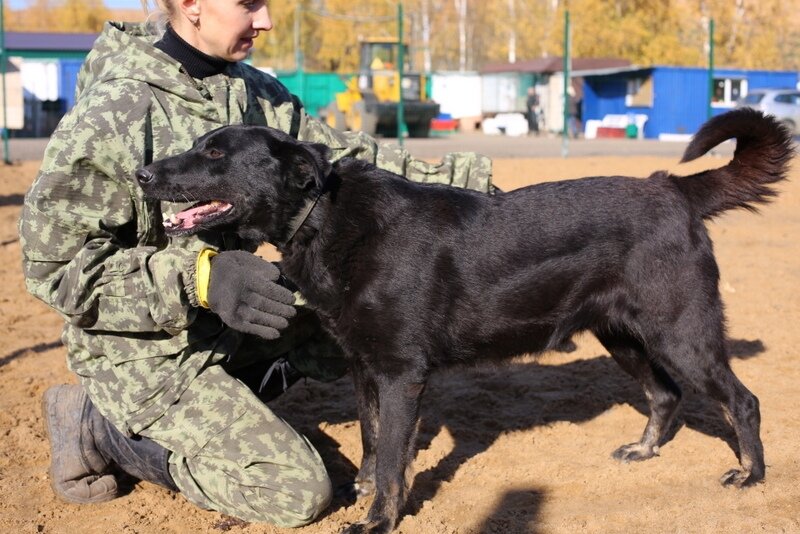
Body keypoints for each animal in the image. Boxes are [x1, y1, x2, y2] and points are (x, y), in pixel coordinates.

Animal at [136, 110, 792, 534]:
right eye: (200, 144)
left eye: (216, 154)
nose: (141, 175)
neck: (324, 216)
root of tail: (673, 189)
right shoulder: (365, 371)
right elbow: (375, 444)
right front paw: (365, 495)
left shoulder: (402, 375)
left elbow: (394, 462)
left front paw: (379, 521)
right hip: (624, 337)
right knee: (666, 394)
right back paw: (646, 450)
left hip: (681, 334)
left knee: (743, 400)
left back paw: (750, 474)